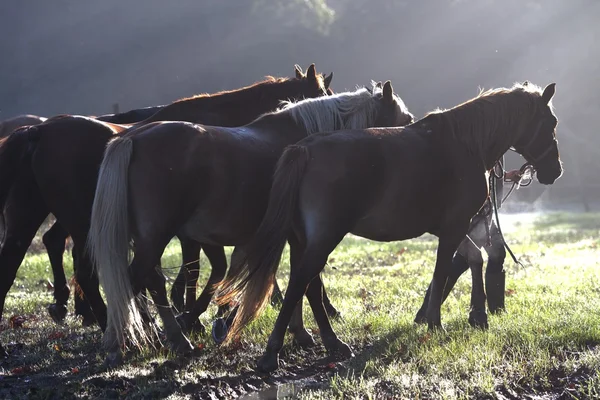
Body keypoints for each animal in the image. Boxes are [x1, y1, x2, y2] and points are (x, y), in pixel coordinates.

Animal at [0, 64, 330, 358]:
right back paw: (114, 326)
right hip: (83, 225)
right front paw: (198, 315)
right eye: (324, 92)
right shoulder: (192, 231)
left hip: (36, 217)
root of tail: (38, 130)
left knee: (28, 258)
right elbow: (198, 270)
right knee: (88, 273)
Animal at [89, 80, 414, 366]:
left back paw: (170, 338)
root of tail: (132, 138)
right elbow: (309, 285)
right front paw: (325, 339)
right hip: (156, 236)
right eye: (407, 118)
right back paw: (127, 342)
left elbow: (298, 283)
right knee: (134, 281)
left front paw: (299, 333)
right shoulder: (303, 237)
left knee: (150, 282)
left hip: (149, 239)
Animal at [219, 81, 564, 372]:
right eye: (551, 123)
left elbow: (473, 257)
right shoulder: (453, 227)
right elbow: (443, 272)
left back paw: (331, 343)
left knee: (310, 286)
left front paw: (475, 314)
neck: (464, 143)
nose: (555, 171)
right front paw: (435, 323)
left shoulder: (450, 228)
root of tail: (304, 148)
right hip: (324, 239)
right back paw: (273, 353)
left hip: (305, 241)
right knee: (300, 284)